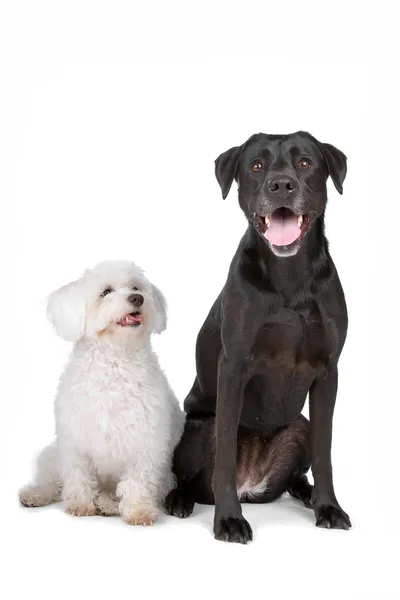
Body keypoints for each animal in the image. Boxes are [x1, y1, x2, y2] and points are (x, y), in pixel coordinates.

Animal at [19, 258, 184, 524]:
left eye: (136, 287)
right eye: (106, 292)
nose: (137, 298)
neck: (115, 360)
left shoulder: (147, 442)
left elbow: (138, 479)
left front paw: (138, 510)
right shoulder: (75, 440)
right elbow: (78, 475)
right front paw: (80, 504)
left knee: (112, 492)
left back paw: (108, 504)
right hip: (53, 456)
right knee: (52, 481)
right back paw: (36, 495)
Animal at [167, 131, 352, 544]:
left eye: (305, 163)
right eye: (256, 166)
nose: (281, 185)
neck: (290, 275)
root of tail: (250, 484)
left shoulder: (328, 371)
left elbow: (326, 452)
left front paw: (328, 507)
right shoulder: (233, 368)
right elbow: (223, 460)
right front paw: (227, 520)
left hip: (299, 425)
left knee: (298, 470)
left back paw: (305, 492)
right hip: (199, 428)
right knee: (184, 474)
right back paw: (179, 499)